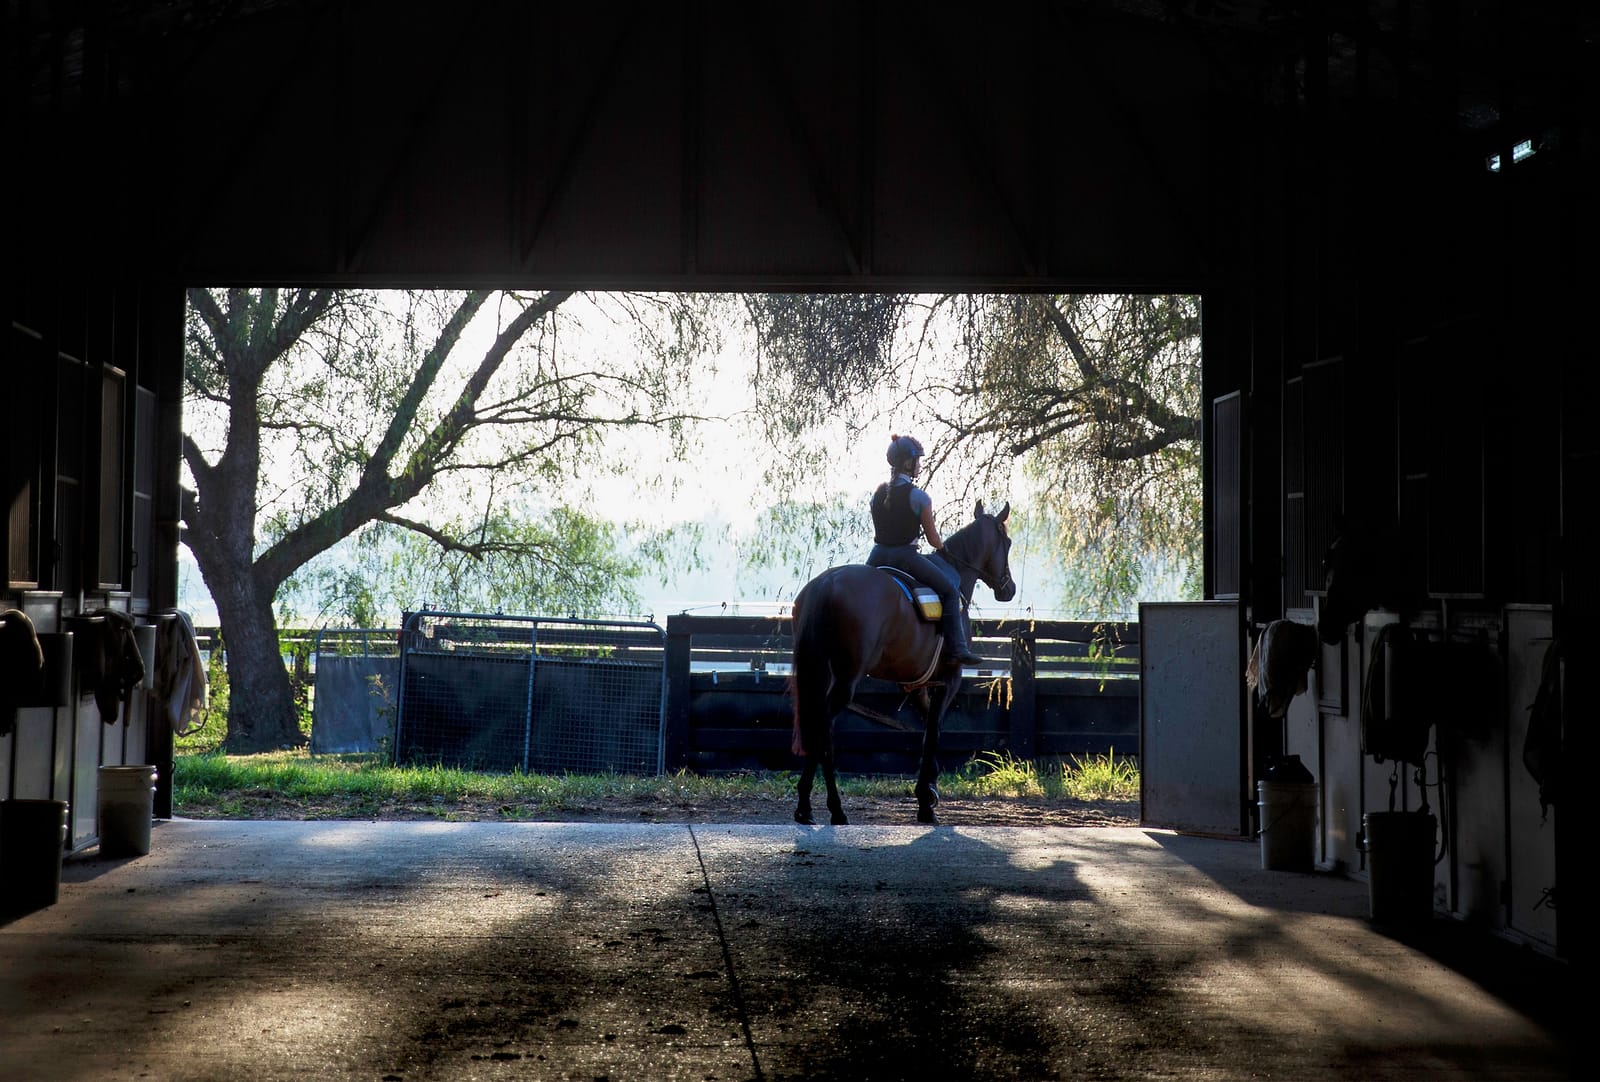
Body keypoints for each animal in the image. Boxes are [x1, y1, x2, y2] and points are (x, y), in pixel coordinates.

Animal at [790, 502, 1024, 825]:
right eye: (1008, 542)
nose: (1008, 588)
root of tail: (827, 583)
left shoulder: (916, 684)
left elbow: (929, 730)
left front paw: (929, 789)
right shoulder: (949, 679)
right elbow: (933, 733)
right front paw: (926, 803)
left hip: (821, 672)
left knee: (817, 729)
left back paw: (805, 806)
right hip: (846, 678)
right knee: (823, 728)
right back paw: (835, 808)